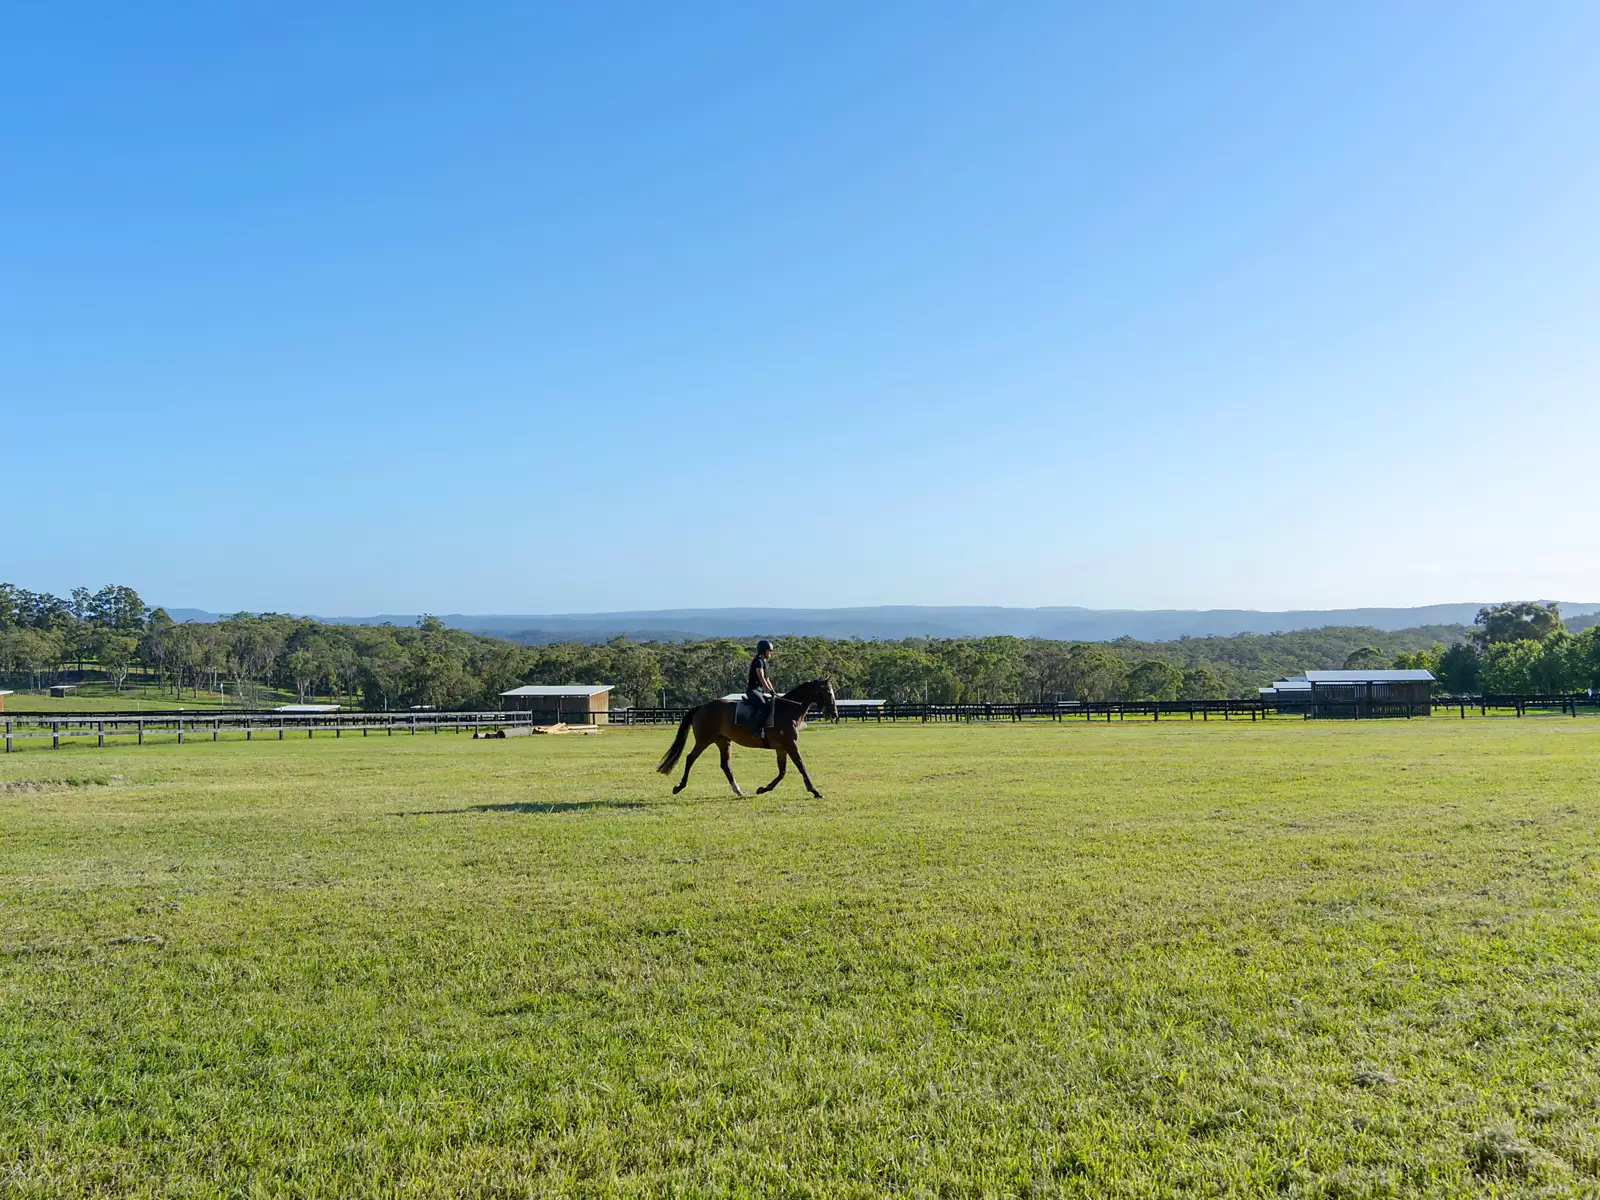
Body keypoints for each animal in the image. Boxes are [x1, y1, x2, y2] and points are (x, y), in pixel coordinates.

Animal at [659, 678, 844, 800]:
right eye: (828, 692)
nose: (834, 713)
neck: (788, 710)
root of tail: (702, 707)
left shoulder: (782, 747)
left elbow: (782, 771)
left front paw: (763, 789)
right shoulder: (790, 744)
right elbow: (801, 766)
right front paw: (815, 791)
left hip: (723, 741)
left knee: (725, 765)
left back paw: (738, 791)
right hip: (705, 739)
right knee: (690, 758)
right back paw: (679, 787)